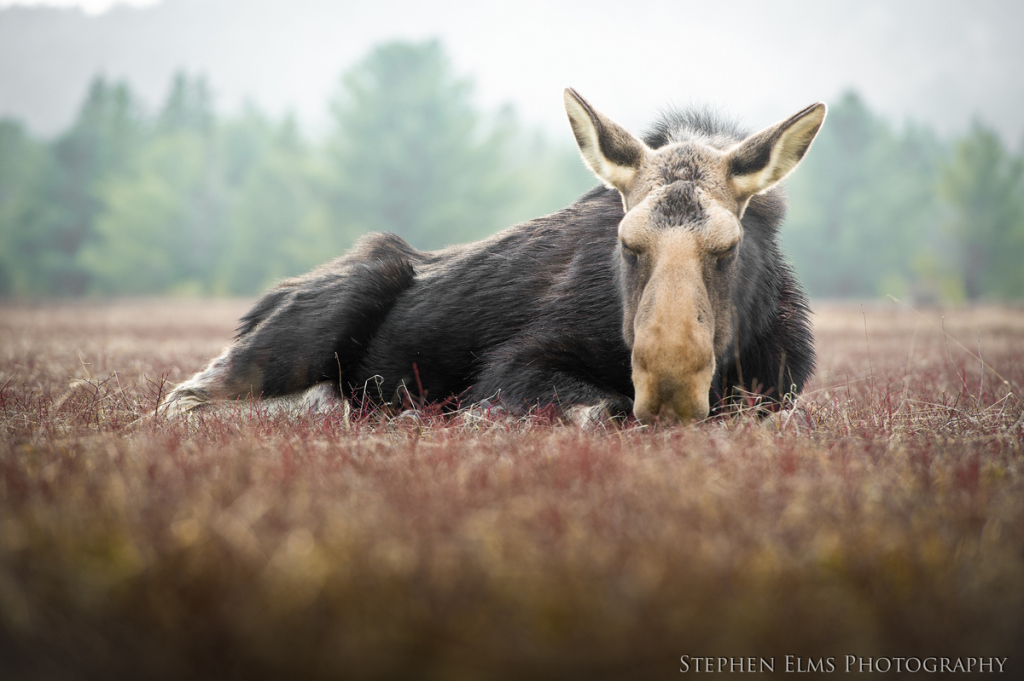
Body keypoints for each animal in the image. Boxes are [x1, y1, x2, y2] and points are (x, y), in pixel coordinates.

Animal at [161, 87, 831, 421]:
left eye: (728, 246)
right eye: (626, 242)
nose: (669, 388)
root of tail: (263, 303)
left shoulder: (779, 388)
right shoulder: (515, 365)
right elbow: (600, 408)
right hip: (311, 328)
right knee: (184, 401)